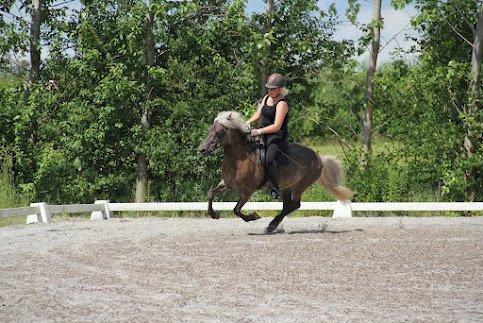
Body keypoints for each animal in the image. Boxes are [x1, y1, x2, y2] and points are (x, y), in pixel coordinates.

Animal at [199, 112, 354, 234]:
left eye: (219, 132)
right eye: (209, 130)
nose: (202, 150)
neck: (239, 159)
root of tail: (319, 158)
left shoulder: (247, 191)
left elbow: (236, 209)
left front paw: (254, 216)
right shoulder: (227, 184)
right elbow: (211, 194)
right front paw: (213, 214)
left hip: (299, 186)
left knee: (294, 205)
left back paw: (271, 225)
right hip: (286, 187)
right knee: (288, 205)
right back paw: (273, 226)